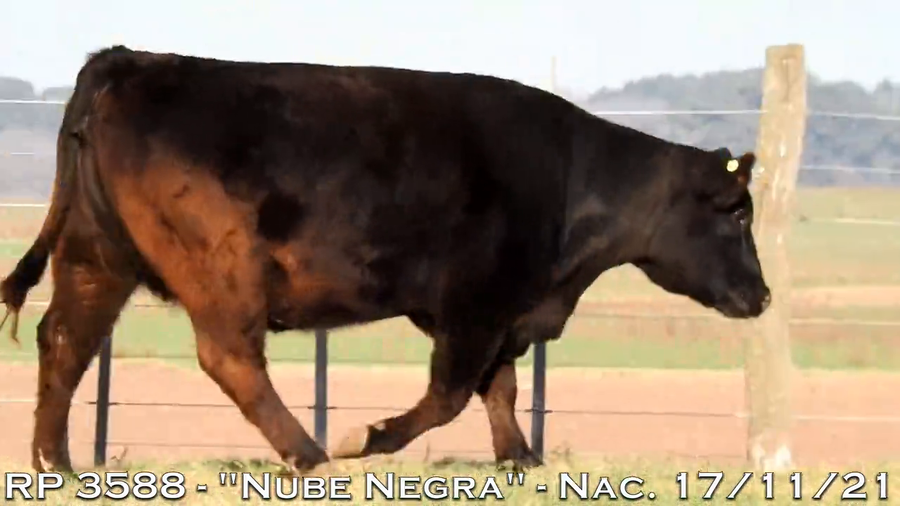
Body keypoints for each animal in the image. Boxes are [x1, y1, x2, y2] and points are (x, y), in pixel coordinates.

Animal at [0, 45, 770, 474]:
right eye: (737, 213)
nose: (761, 296)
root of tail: (131, 60)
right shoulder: (474, 306)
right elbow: (449, 396)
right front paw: (366, 437)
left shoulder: (495, 313)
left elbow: (499, 389)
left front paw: (520, 457)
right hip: (219, 268)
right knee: (230, 359)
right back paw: (309, 453)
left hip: (97, 258)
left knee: (65, 341)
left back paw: (55, 462)